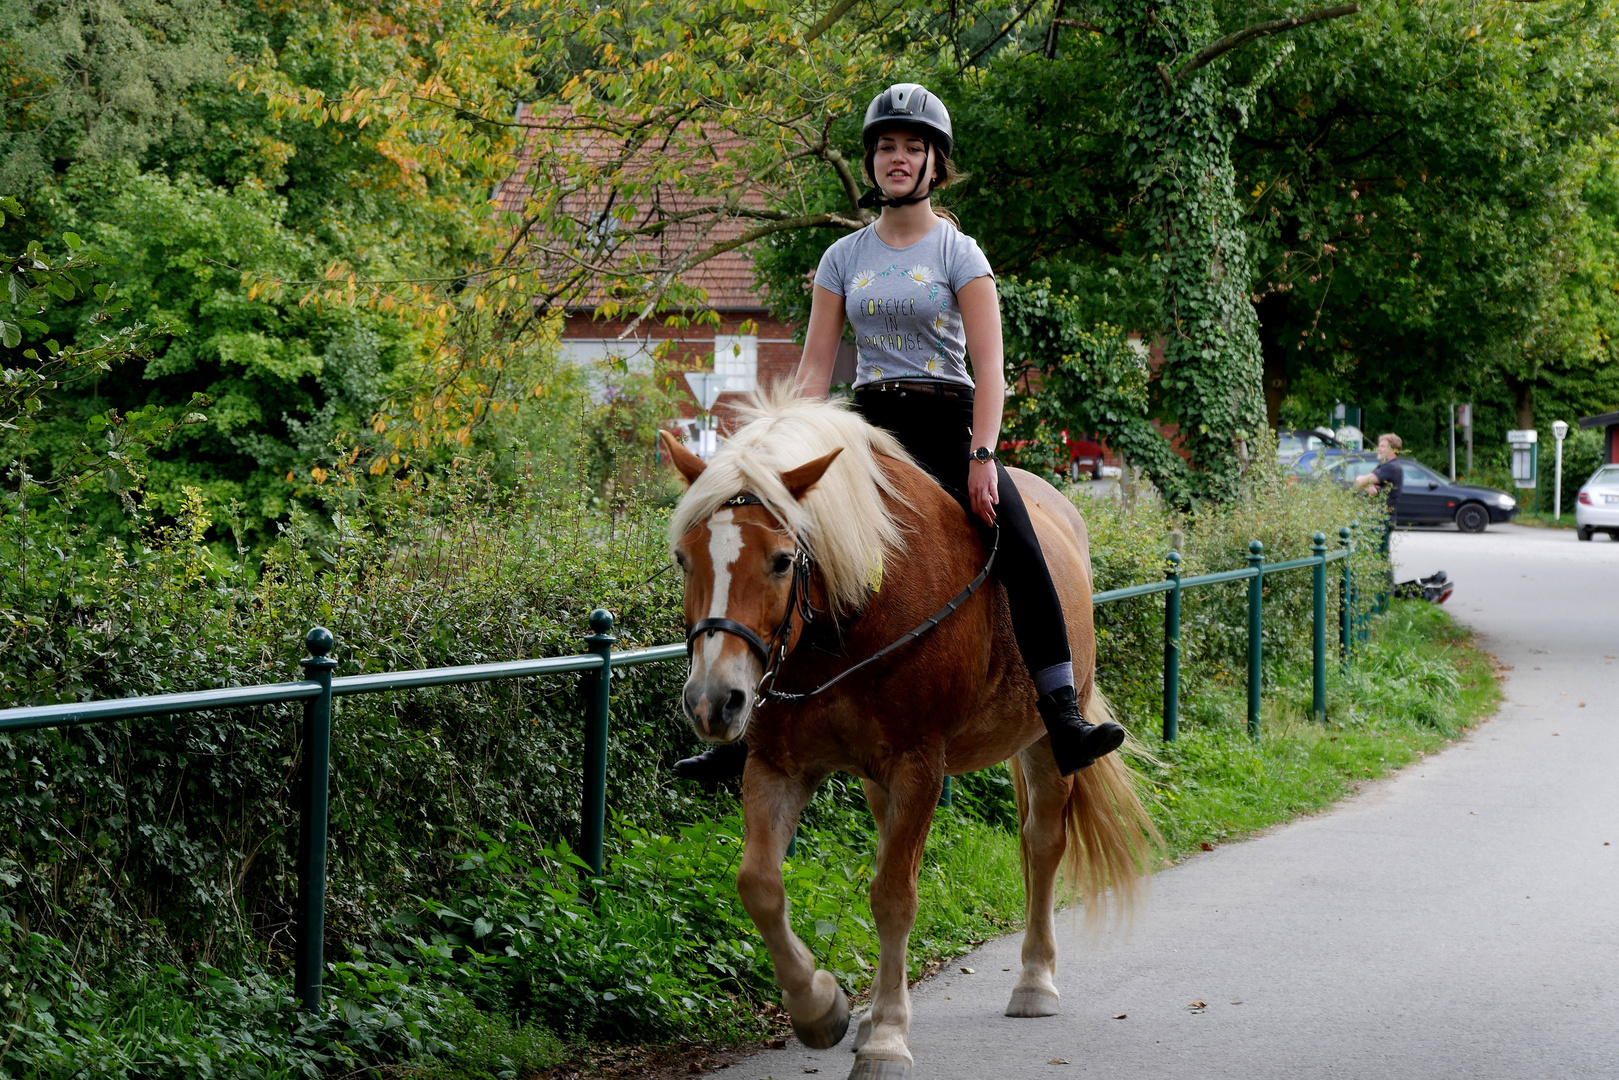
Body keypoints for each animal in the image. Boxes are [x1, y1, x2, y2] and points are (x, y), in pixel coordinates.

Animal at [657, 390, 1152, 1080]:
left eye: (781, 561)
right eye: (684, 558)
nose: (714, 701)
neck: (849, 620)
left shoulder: (920, 765)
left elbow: (893, 894)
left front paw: (888, 1037)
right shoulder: (779, 765)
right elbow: (759, 885)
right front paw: (822, 1009)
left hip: (1046, 741)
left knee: (1041, 843)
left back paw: (1034, 981)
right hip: (875, 778)